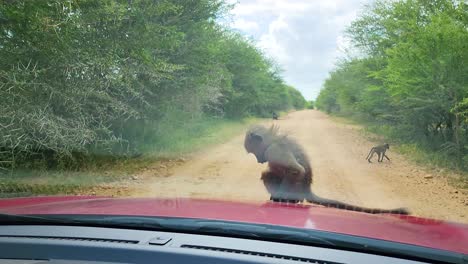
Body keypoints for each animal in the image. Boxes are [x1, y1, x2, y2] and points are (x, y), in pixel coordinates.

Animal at [245, 125, 410, 214]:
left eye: (253, 152)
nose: (259, 160)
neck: (272, 140)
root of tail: (306, 189)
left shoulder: (274, 150)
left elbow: (296, 170)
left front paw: (280, 198)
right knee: (268, 173)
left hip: (297, 188)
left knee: (272, 174)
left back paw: (289, 199)